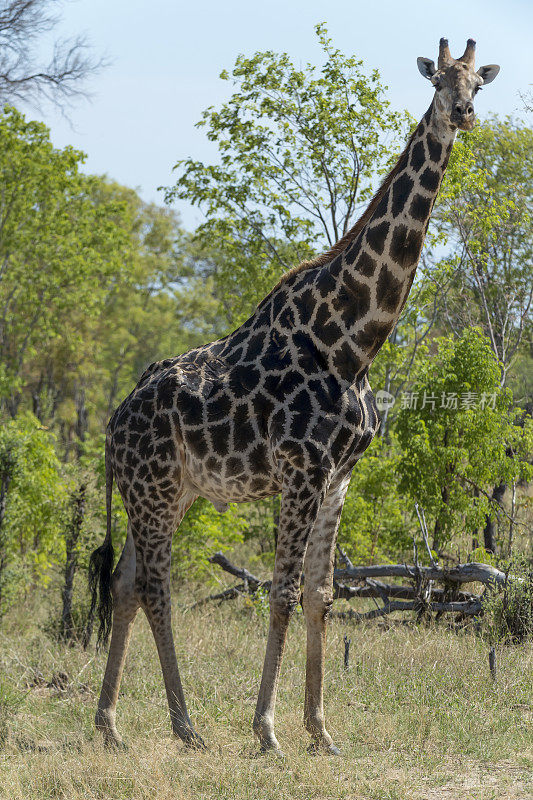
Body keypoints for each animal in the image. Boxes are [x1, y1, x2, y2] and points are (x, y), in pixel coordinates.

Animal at [88, 40, 498, 756]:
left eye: (479, 82)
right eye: (439, 80)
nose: (462, 113)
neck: (353, 340)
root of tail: (113, 422)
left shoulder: (338, 478)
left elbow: (320, 596)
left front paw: (321, 731)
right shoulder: (300, 472)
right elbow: (278, 593)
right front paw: (268, 730)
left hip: (164, 491)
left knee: (127, 582)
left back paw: (110, 724)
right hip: (156, 490)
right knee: (158, 586)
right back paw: (186, 726)